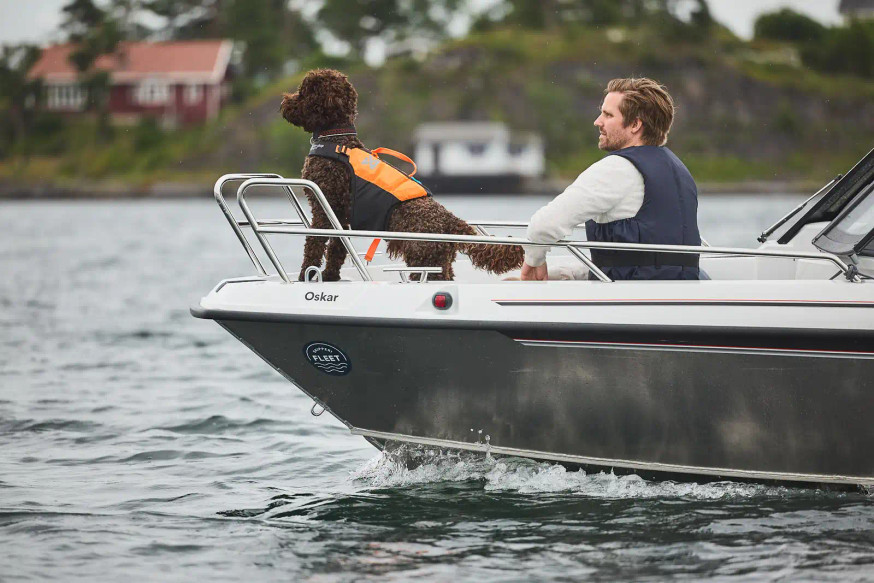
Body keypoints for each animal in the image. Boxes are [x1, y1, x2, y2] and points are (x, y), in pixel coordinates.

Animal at [282, 68, 524, 282]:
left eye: (303, 92)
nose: (284, 102)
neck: (336, 137)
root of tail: (450, 219)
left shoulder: (323, 208)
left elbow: (314, 246)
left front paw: (305, 275)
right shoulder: (340, 215)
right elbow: (337, 249)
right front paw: (330, 276)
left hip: (424, 261)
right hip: (440, 262)